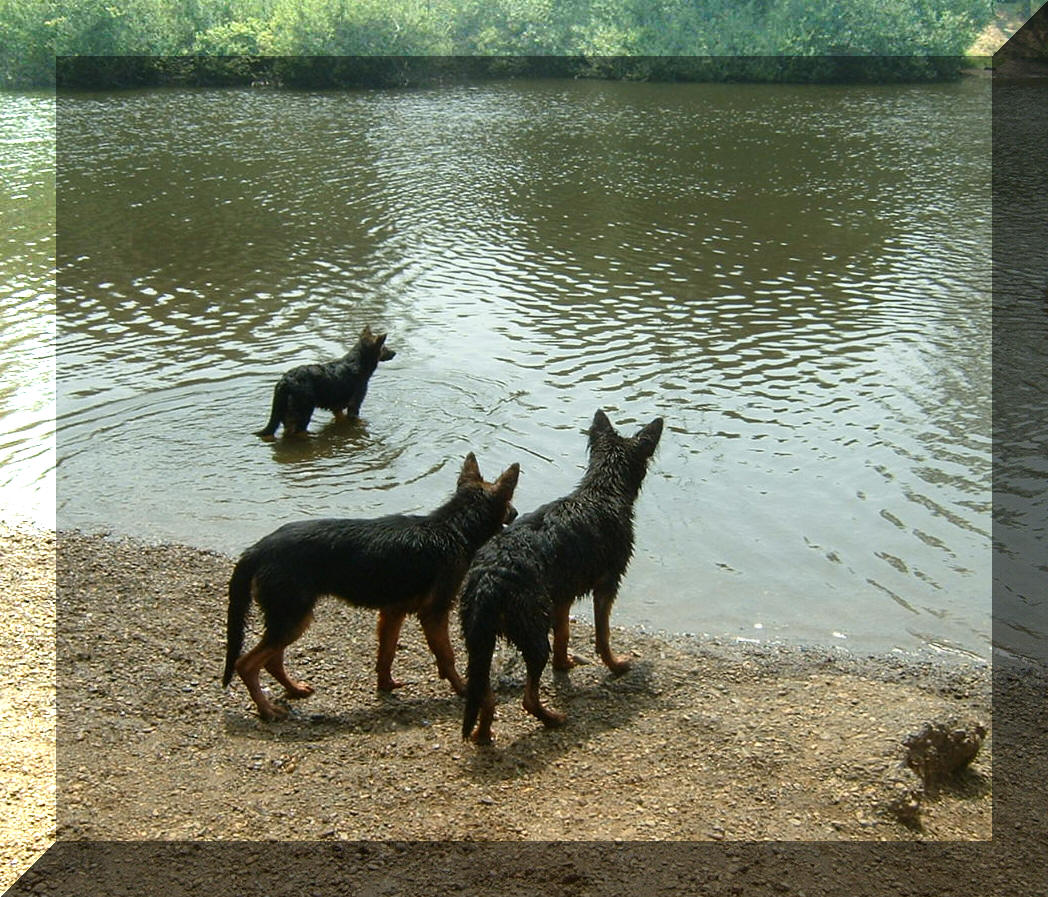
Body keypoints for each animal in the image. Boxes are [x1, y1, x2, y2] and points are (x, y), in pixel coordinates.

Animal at [223, 453, 520, 721]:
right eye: (509, 501)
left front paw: (386, 686)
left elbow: (386, 654)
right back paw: (266, 710)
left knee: (271, 661)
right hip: (293, 618)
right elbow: (447, 657)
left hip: (289, 619)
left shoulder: (392, 613)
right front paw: (464, 690)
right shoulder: (434, 614)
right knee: (245, 664)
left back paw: (294, 689)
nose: (517, 513)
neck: (454, 526)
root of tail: (258, 549)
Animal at [255, 325, 395, 439]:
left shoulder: (337, 408)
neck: (358, 361)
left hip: (287, 415)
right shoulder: (354, 405)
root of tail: (284, 381)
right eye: (384, 347)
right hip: (303, 413)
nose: (395, 353)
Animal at [460, 410, 663, 744]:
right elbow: (603, 634)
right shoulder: (607, 584)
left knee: (485, 697)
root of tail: (488, 579)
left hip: (479, 640)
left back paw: (482, 734)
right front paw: (616, 665)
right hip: (531, 632)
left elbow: (565, 633)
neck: (603, 491)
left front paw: (564, 663)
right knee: (528, 698)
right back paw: (553, 719)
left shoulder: (562, 594)